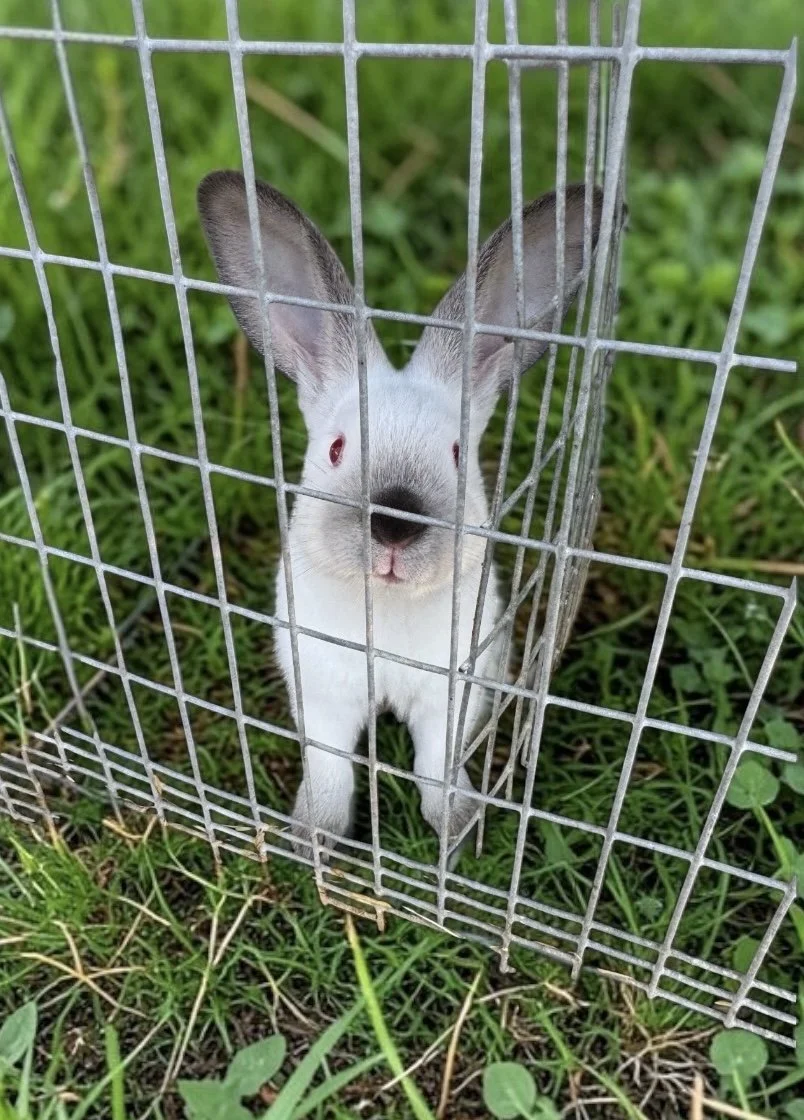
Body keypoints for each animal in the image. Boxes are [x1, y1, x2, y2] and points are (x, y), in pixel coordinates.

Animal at [197, 170, 602, 858]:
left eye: (459, 454)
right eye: (336, 449)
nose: (395, 520)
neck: (381, 606)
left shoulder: (452, 695)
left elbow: (435, 767)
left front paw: (457, 835)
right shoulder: (322, 693)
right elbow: (331, 769)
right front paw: (312, 843)